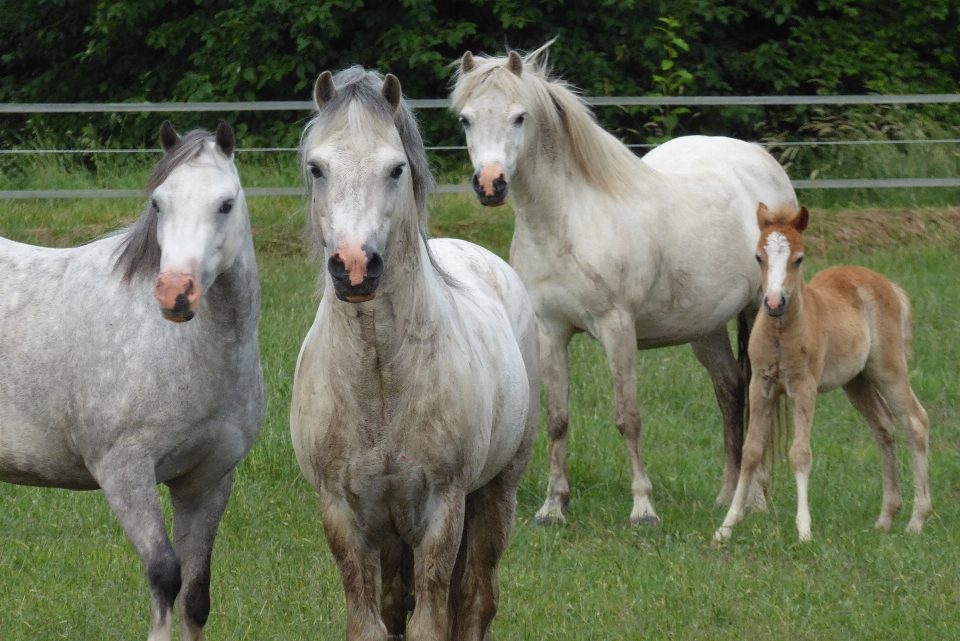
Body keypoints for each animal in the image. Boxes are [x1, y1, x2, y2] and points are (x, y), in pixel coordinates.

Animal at [0, 121, 262, 640]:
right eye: (158, 203)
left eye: (225, 203)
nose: (175, 293)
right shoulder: (124, 473)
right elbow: (165, 575)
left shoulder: (207, 480)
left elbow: (196, 594)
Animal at [288, 67, 536, 640]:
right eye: (316, 167)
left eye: (396, 168)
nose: (355, 268)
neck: (379, 378)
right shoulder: (343, 514)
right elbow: (371, 622)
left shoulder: (442, 509)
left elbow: (433, 618)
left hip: (496, 492)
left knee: (476, 598)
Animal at [454, 42, 800, 528]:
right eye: (466, 119)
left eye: (519, 117)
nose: (490, 184)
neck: (570, 219)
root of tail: (762, 161)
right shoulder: (549, 331)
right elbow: (557, 418)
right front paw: (553, 507)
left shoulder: (617, 328)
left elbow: (627, 417)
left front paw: (643, 508)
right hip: (707, 327)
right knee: (730, 390)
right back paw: (726, 494)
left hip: (759, 310)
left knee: (758, 395)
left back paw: (756, 499)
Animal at [712, 204, 928, 540]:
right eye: (758, 256)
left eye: (799, 258)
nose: (774, 302)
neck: (781, 332)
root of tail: (888, 284)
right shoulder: (761, 385)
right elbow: (751, 452)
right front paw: (726, 527)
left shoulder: (804, 387)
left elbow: (800, 453)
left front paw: (804, 530)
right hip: (856, 380)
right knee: (883, 426)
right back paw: (886, 517)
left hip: (888, 369)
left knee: (915, 422)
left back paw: (917, 520)